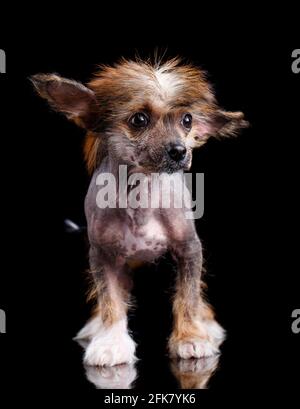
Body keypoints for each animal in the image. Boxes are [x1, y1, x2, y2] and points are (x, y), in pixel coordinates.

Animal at [31, 55, 248, 364]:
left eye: (187, 120)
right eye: (139, 119)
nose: (179, 151)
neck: (141, 194)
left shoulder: (189, 249)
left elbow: (188, 296)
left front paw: (191, 337)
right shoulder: (102, 256)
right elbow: (110, 300)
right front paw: (110, 341)